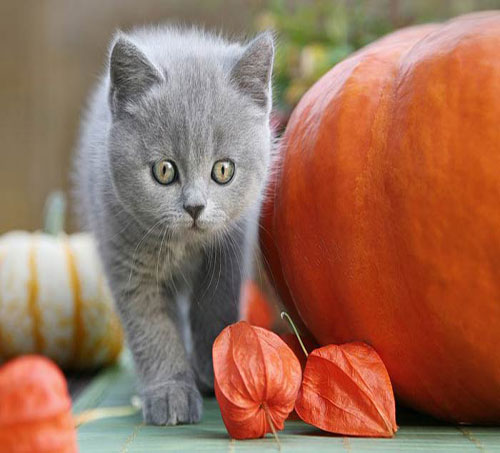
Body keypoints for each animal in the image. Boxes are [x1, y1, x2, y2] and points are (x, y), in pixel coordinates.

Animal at [73, 26, 274, 424]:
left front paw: (216, 371)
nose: (194, 207)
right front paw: (170, 392)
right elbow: (152, 329)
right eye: (164, 170)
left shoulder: (230, 251)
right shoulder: (128, 263)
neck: (184, 246)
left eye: (223, 170)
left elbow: (215, 307)